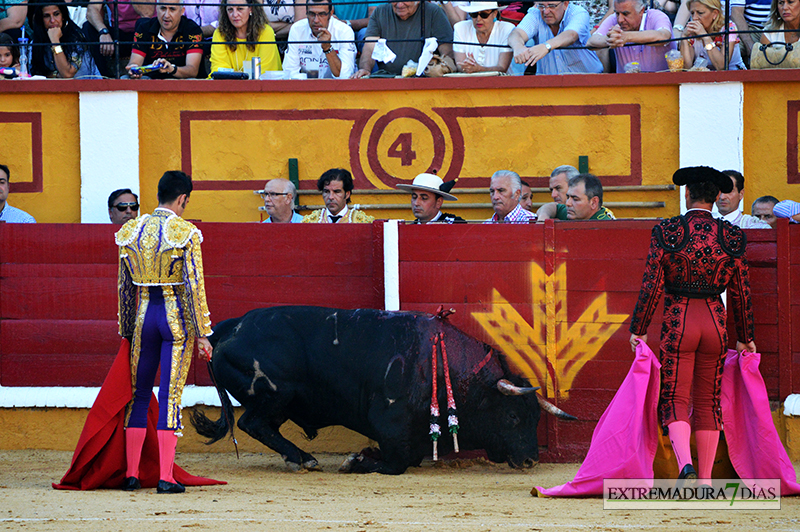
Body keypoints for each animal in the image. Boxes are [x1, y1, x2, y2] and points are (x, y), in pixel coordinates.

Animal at [190, 306, 572, 476]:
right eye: (513, 416)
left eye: (535, 417)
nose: (531, 459)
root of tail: (233, 326)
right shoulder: (390, 425)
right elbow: (395, 463)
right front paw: (355, 459)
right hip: (275, 394)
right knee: (251, 423)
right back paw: (302, 458)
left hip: (280, 401)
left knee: (261, 426)